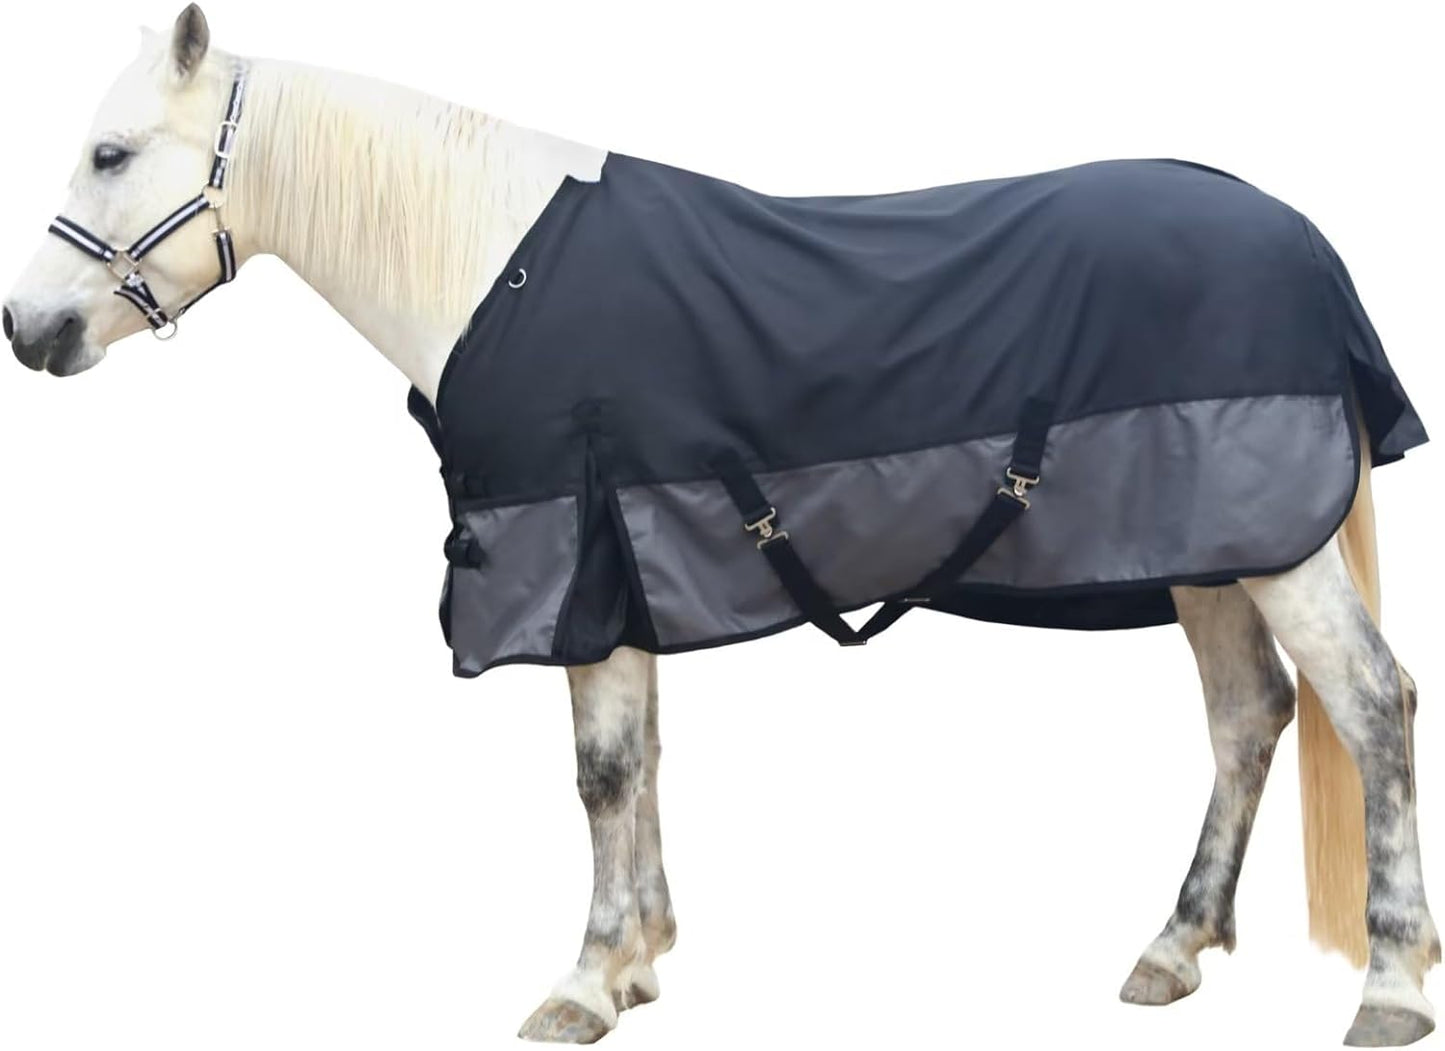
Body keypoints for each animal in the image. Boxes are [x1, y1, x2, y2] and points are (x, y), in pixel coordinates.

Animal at [3, 6, 1437, 1046]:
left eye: (112, 154)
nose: (29, 329)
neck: (489, 265)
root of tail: (1302, 243)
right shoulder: (622, 565)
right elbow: (636, 763)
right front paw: (639, 961)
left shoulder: (576, 563)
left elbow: (599, 771)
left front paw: (582, 983)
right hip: (1212, 553)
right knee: (1249, 714)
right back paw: (1171, 946)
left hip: (1273, 549)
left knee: (1370, 702)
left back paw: (1388, 985)